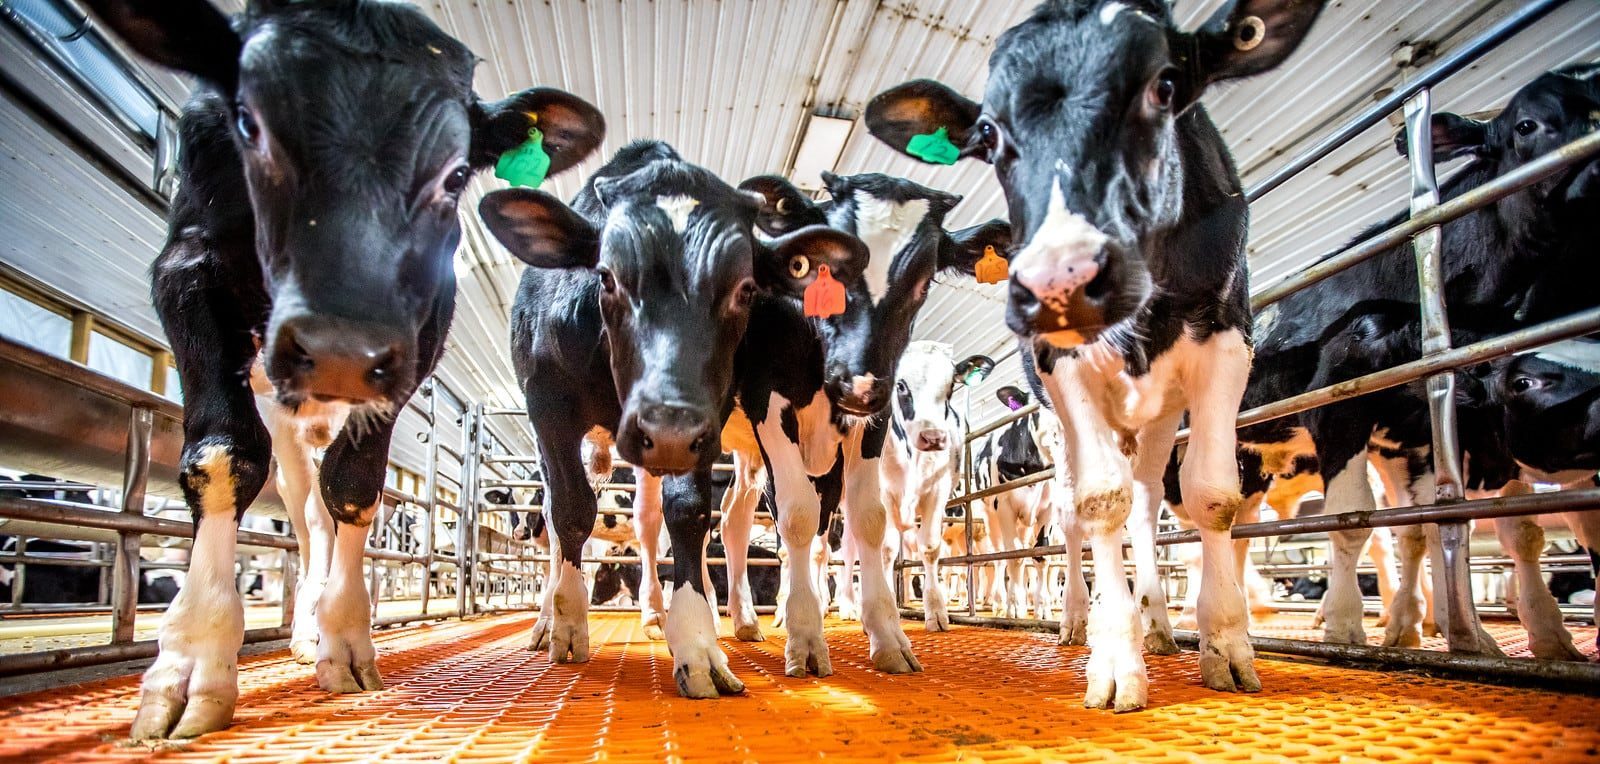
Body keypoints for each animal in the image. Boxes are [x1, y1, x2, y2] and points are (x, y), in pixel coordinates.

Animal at [84, 0, 601, 741]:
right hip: (285, 409)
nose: (341, 346)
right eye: (249, 122)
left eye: (455, 174)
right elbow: (224, 454)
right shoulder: (187, 269)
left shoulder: (422, 325)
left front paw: (349, 642)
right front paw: (193, 661)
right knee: (303, 515)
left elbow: (355, 483)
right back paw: (302, 626)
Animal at [486, 140, 864, 696]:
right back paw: (548, 621)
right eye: (606, 276)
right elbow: (571, 513)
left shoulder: (703, 422)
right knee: (557, 523)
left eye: (745, 289)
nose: (666, 427)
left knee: (652, 526)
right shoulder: (547, 405)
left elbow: (688, 512)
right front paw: (570, 626)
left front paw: (696, 643)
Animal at [876, 0, 1324, 709]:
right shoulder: (1061, 371)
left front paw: (1225, 644)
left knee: (1144, 502)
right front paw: (1115, 659)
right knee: (1074, 516)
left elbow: (1211, 495)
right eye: (988, 133)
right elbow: (1096, 503)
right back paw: (1076, 622)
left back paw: (1160, 625)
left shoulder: (1228, 339)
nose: (1062, 276)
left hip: (1159, 413)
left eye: (1165, 87)